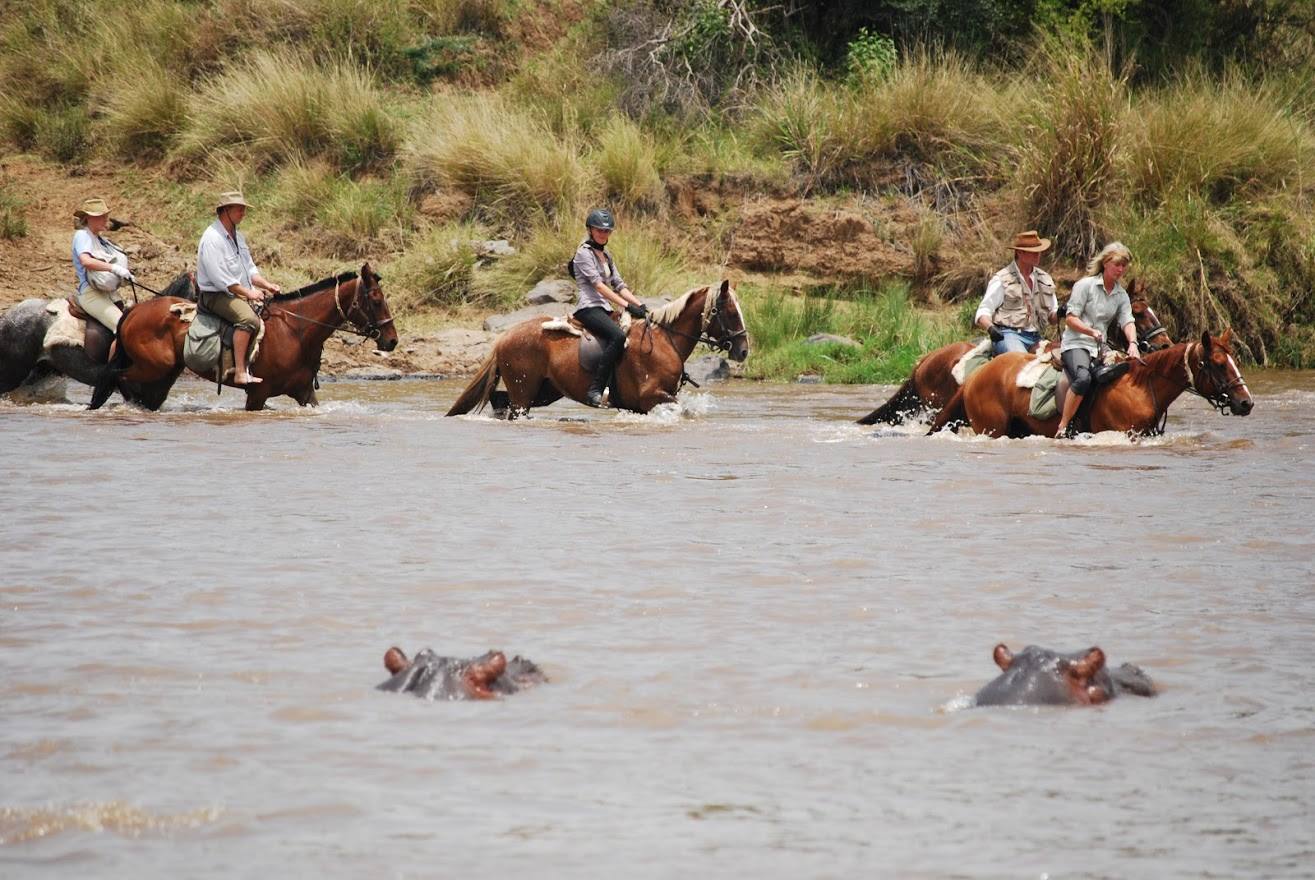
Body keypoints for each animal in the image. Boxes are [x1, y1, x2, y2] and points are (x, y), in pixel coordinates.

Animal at [92, 263, 397, 411]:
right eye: (375, 299)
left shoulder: (304, 392)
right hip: (153, 367)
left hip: (163, 372)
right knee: (117, 377)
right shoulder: (258, 394)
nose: (392, 340)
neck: (296, 331)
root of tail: (134, 310)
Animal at [446, 280, 749, 418]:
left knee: (499, 400)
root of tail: (505, 336)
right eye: (731, 312)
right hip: (525, 389)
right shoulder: (651, 397)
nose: (744, 351)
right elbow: (682, 409)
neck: (665, 340)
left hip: (544, 390)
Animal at [928, 330, 1252, 439]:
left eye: (1234, 360)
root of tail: (974, 377)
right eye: (1219, 364)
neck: (1141, 388)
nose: (1246, 402)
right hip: (992, 429)